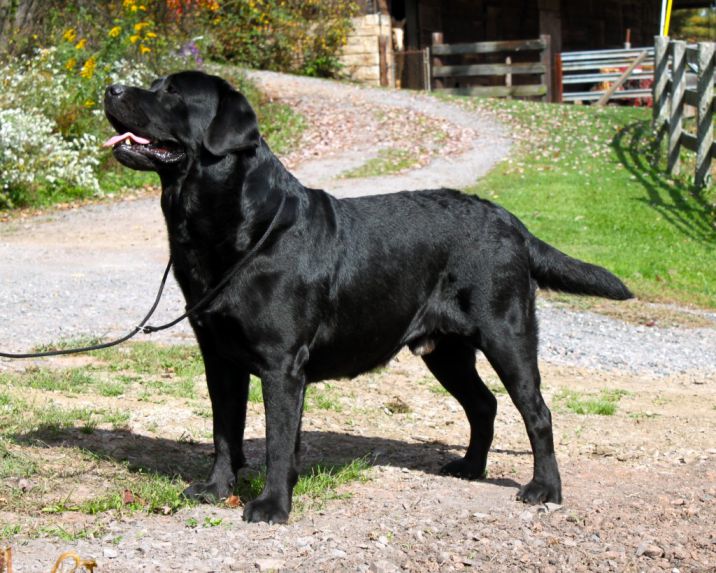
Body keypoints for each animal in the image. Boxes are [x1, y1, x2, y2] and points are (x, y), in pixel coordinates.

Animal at [102, 70, 632, 524]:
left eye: (172, 93)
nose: (110, 88)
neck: (236, 227)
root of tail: (510, 221)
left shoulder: (281, 363)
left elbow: (277, 441)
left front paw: (272, 505)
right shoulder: (218, 358)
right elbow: (223, 431)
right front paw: (215, 489)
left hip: (506, 332)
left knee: (536, 411)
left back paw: (545, 489)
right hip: (446, 350)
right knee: (483, 404)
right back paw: (468, 468)